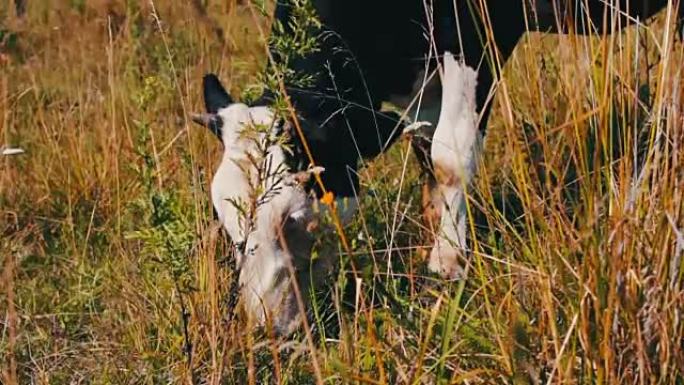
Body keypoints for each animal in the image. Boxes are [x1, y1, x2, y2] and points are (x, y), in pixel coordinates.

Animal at [195, 0, 680, 332]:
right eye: (223, 217)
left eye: (292, 218)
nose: (261, 324)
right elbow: (426, 149)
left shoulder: (474, 35)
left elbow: (449, 152)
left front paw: (447, 263)